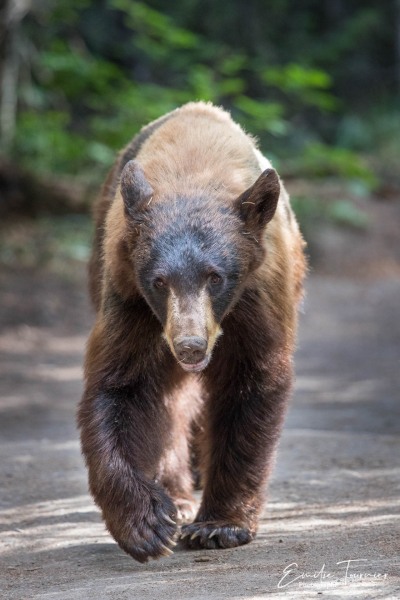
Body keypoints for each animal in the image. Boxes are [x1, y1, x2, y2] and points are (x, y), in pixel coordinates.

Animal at [76, 101, 304, 564]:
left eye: (216, 277)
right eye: (160, 280)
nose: (190, 346)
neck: (194, 167)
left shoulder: (259, 296)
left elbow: (251, 384)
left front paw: (219, 525)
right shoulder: (130, 297)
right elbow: (122, 387)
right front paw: (146, 523)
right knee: (171, 404)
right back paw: (178, 497)